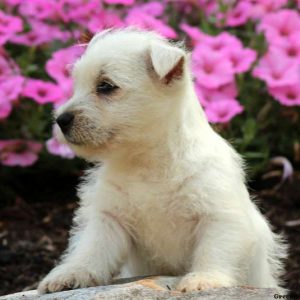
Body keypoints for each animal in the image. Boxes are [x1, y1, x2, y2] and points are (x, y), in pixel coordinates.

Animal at [37, 29, 286, 294]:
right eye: (77, 84)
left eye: (105, 86)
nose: (61, 120)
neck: (146, 159)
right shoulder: (110, 218)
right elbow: (92, 249)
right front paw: (71, 274)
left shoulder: (219, 215)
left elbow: (214, 251)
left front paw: (204, 279)